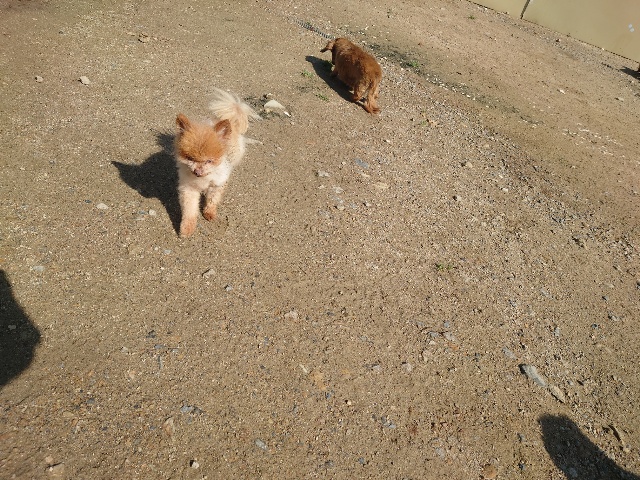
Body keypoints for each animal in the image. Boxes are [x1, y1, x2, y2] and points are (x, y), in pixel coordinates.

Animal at [174, 89, 259, 237]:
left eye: (209, 161)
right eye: (190, 158)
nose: (197, 171)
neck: (204, 178)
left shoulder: (217, 185)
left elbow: (212, 200)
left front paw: (209, 213)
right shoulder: (189, 188)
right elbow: (189, 210)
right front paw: (186, 229)